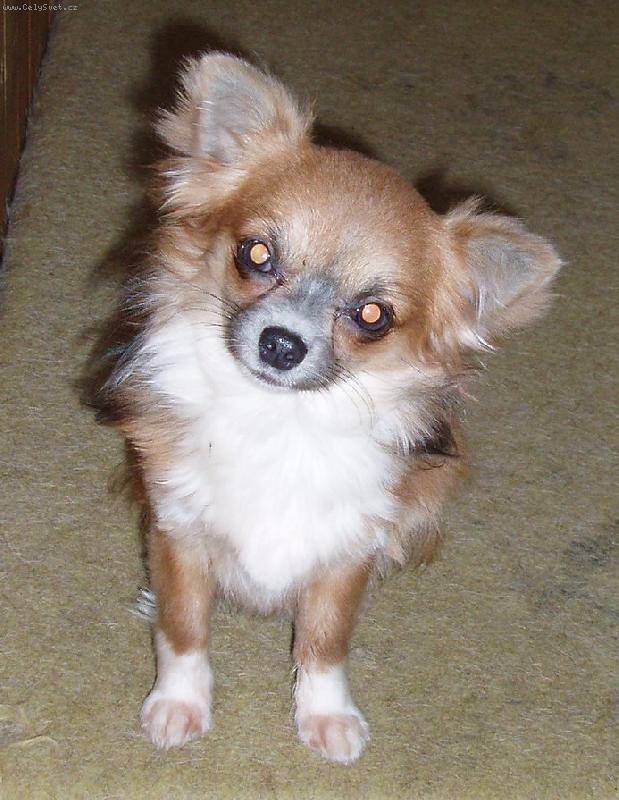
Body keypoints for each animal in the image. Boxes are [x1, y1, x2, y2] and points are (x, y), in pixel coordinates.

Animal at [98, 53, 561, 763]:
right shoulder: (178, 530)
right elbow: (185, 629)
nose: (282, 342)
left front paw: (326, 717)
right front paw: (179, 704)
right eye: (256, 255)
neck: (276, 421)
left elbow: (323, 643)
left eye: (373, 315)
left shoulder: (346, 555)